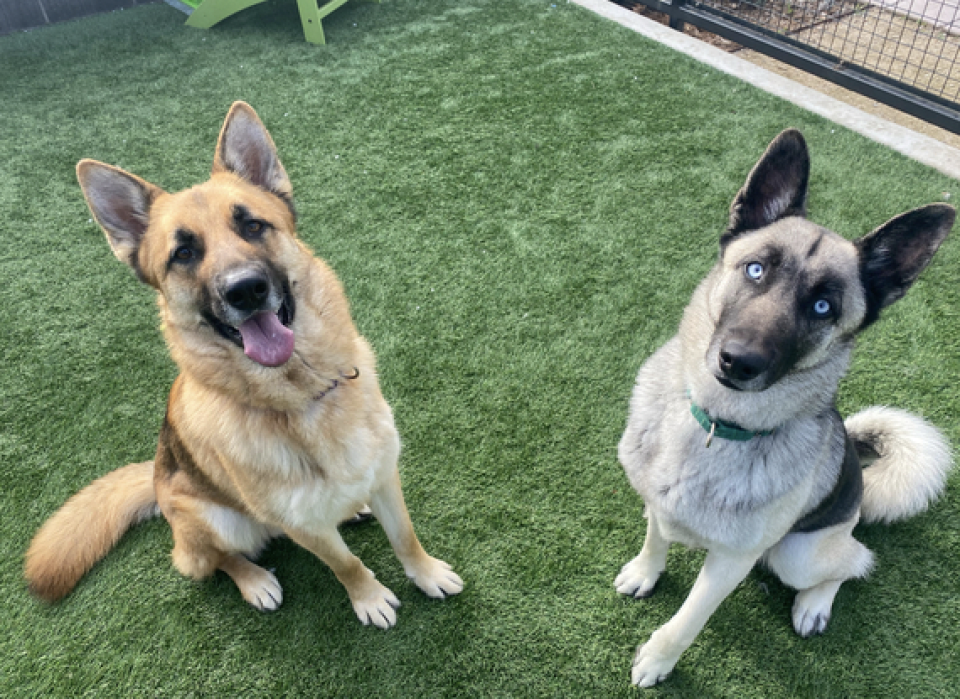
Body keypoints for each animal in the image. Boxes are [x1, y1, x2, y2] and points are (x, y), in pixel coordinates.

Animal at [25, 100, 464, 628]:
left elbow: (405, 536)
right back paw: (254, 581)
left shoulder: (383, 476)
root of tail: (156, 477)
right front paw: (370, 598)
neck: (304, 397)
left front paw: (426, 573)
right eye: (183, 253)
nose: (246, 289)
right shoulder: (303, 526)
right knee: (211, 559)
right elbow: (347, 564)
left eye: (252, 225)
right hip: (214, 522)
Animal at [616, 129, 952, 688]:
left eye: (823, 307)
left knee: (856, 561)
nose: (739, 362)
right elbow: (655, 538)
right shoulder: (659, 505)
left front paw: (657, 661)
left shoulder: (730, 564)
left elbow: (687, 621)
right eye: (755, 269)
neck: (715, 425)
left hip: (798, 554)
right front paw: (646, 572)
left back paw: (814, 605)